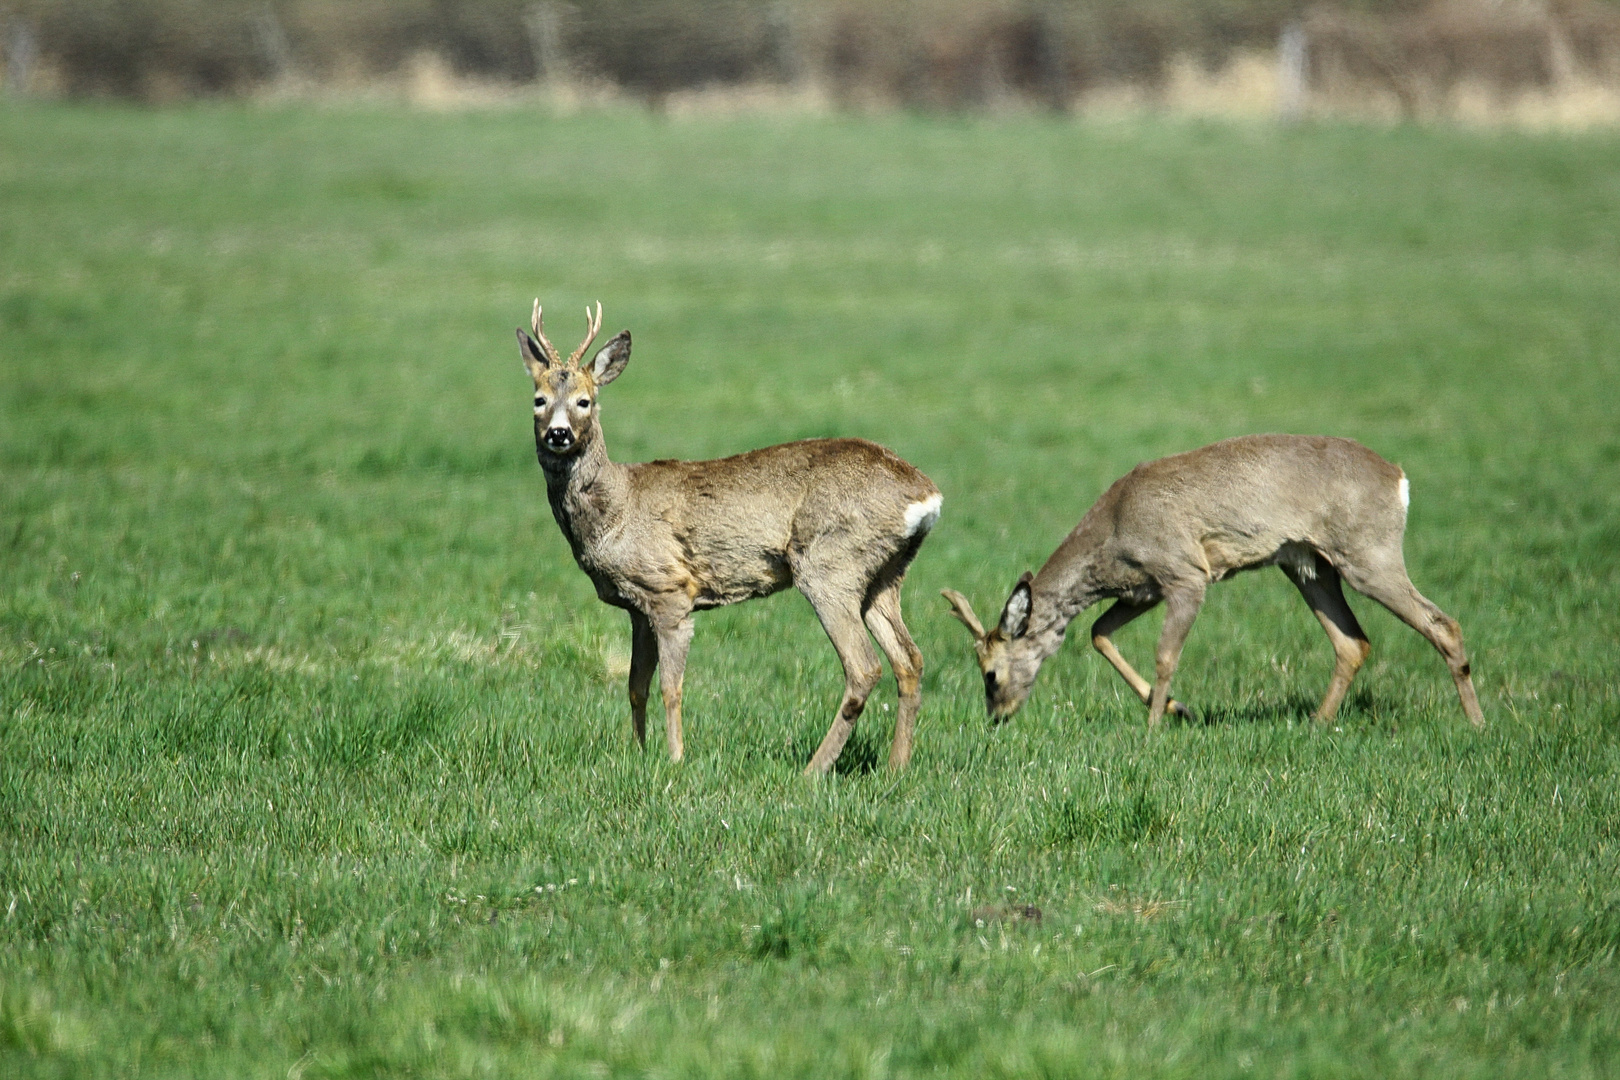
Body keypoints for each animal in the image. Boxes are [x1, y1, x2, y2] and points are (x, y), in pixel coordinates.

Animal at [518, 302, 946, 777]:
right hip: (884, 575)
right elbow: (635, 686)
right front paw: (639, 754)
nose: (559, 433)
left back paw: (812, 771)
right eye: (538, 399)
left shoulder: (669, 591)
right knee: (909, 660)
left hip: (830, 563)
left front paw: (675, 759)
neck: (616, 510)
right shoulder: (637, 607)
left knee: (865, 667)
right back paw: (896, 767)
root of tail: (926, 496)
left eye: (585, 401)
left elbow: (671, 688)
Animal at [946, 433, 1483, 731]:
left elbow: (1165, 655)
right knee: (1353, 642)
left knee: (1444, 623)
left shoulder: (1186, 573)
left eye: (990, 674)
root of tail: (1399, 478)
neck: (1114, 531)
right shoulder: (1144, 588)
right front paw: (1176, 709)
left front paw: (1152, 728)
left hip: (1368, 554)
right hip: (1308, 565)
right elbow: (1098, 633)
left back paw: (1476, 724)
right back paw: (1316, 723)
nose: (997, 717)